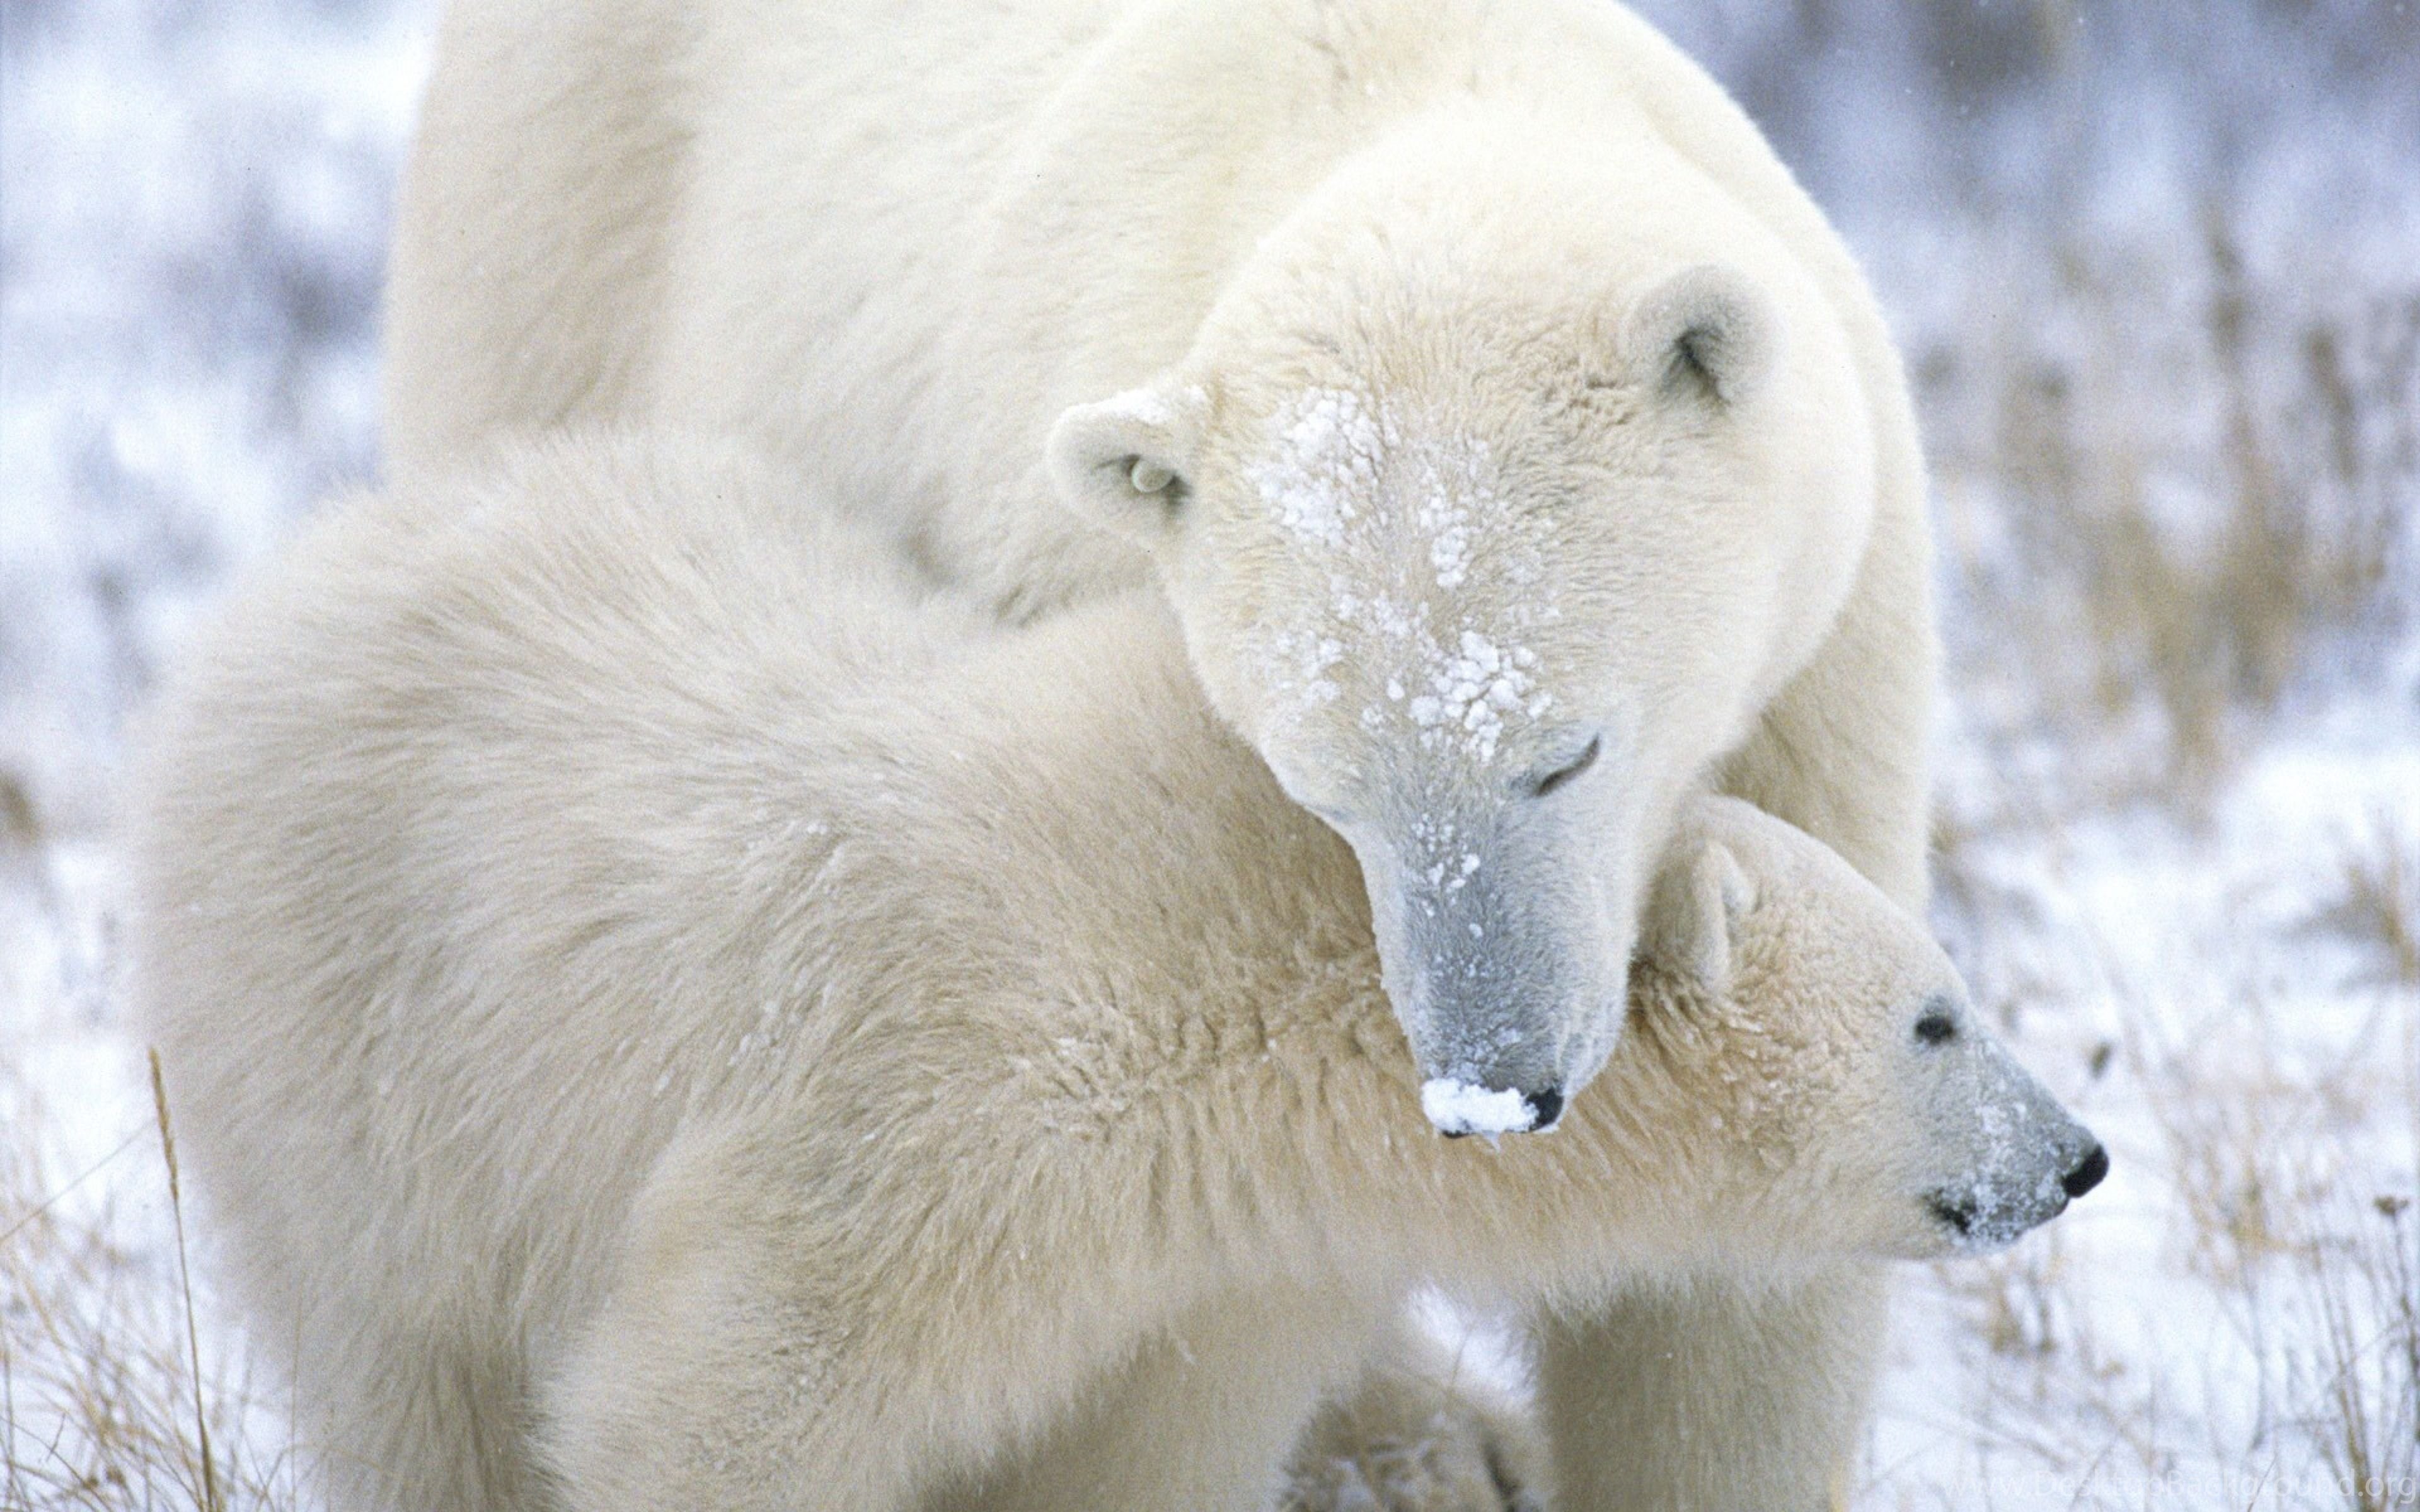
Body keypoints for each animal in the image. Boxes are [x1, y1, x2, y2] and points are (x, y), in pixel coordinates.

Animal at [392, 6, 1945, 1499]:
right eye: (1324, 791)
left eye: (1565, 752)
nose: (1494, 1086)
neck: (1410, 93)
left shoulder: (1820, 672)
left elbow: (1746, 1290)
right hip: (564, 261)